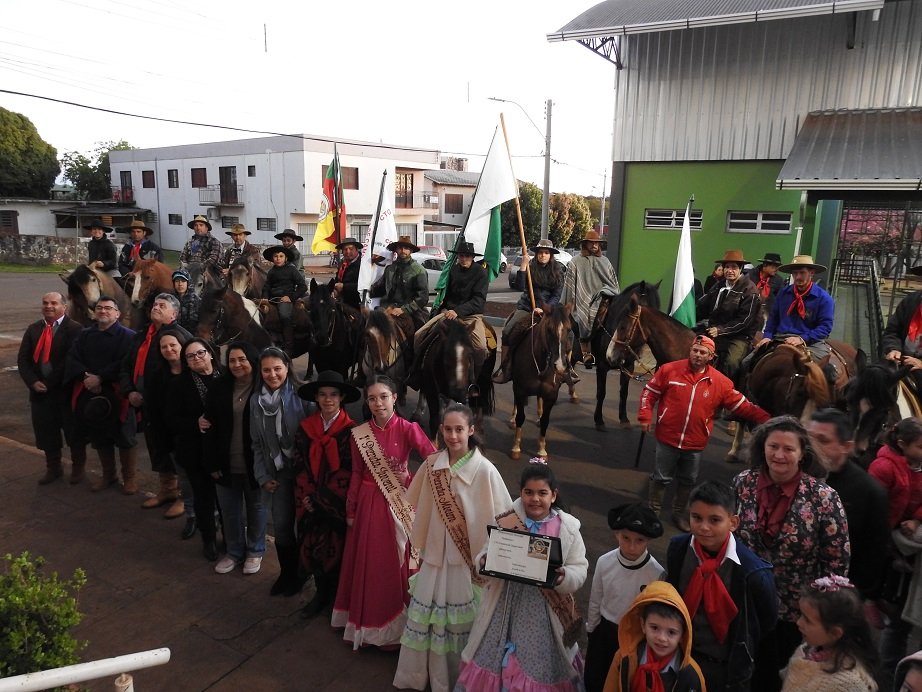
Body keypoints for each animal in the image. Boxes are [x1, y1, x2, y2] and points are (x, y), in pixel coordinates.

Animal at [508, 304, 573, 460]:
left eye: (569, 329)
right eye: (549, 329)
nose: (560, 366)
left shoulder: (551, 395)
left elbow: (545, 420)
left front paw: (542, 450)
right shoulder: (519, 389)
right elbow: (520, 417)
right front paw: (516, 447)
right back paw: (512, 419)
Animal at [585, 280, 661, 430]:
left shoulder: (628, 367)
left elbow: (624, 392)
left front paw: (624, 418)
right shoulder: (602, 367)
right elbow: (601, 393)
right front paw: (599, 420)